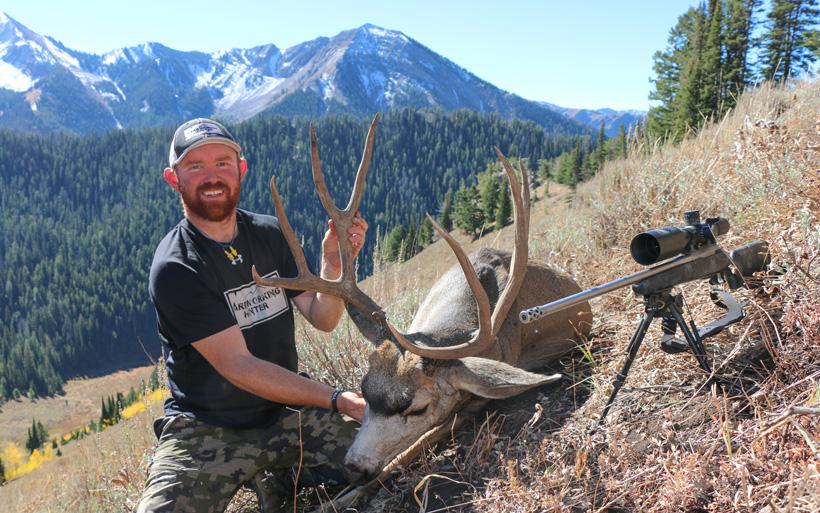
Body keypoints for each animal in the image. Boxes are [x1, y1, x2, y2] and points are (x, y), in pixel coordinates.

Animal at [252, 115, 593, 497]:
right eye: (363, 390)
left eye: (417, 409)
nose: (353, 466)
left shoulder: (473, 397)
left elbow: (411, 450)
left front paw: (349, 494)